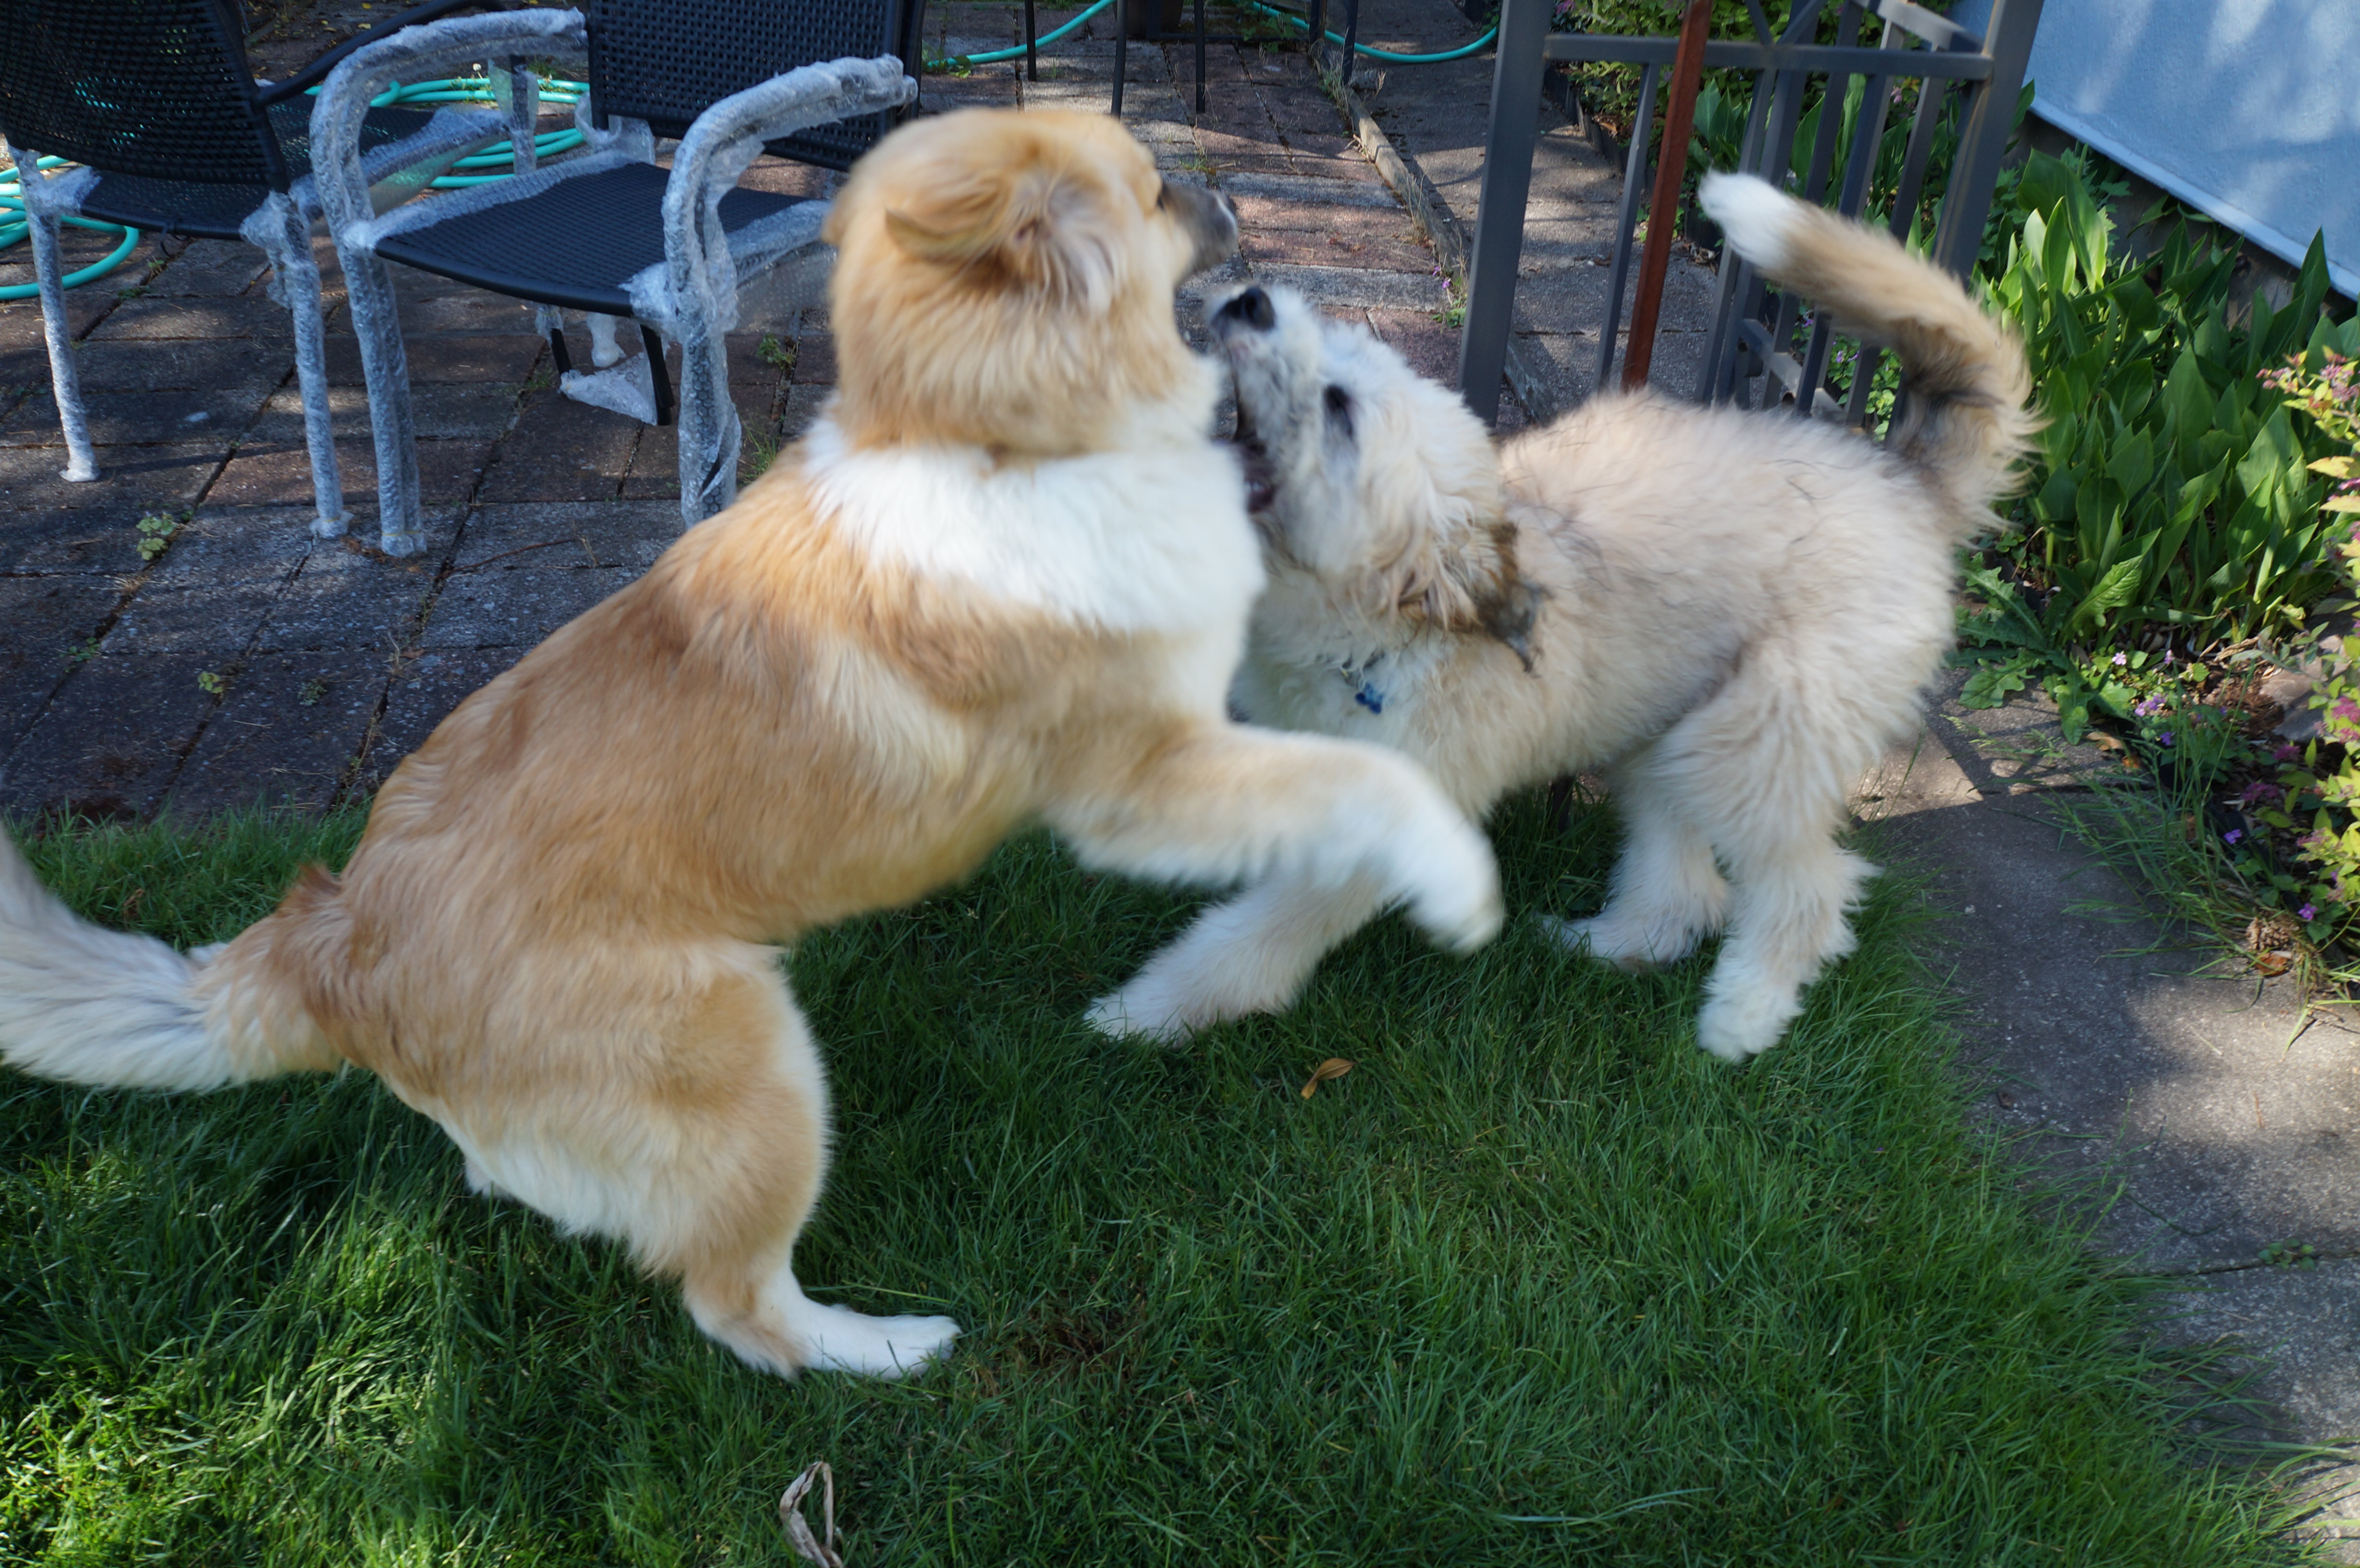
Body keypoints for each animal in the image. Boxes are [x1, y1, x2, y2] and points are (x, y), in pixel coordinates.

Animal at [0, 109, 1502, 1380]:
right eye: (1145, 187)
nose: (1246, 262)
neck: (999, 438)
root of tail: (338, 939)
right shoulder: (1143, 783)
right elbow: (1367, 778)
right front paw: (1460, 882)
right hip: (759, 1079)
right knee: (739, 1309)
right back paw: (887, 1349)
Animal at [1088, 172, 2036, 1062]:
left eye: (1340, 409)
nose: (1250, 299)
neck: (1385, 635)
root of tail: (1905, 481)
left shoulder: (1378, 827)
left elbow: (1247, 940)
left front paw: (1146, 1014)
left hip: (1753, 745)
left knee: (1812, 892)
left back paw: (1743, 1017)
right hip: (1664, 734)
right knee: (1687, 892)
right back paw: (1600, 946)